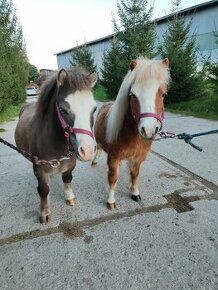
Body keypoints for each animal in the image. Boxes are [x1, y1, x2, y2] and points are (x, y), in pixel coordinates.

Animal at [14, 67, 96, 223]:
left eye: (94, 109)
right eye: (63, 110)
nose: (87, 151)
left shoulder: (70, 164)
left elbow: (67, 179)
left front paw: (69, 197)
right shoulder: (39, 169)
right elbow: (43, 190)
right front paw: (45, 213)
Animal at [92, 56, 170, 208]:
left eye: (163, 94)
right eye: (133, 95)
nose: (148, 130)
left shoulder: (138, 158)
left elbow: (134, 174)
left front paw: (134, 192)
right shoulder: (113, 157)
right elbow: (113, 177)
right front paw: (111, 200)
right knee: (98, 148)